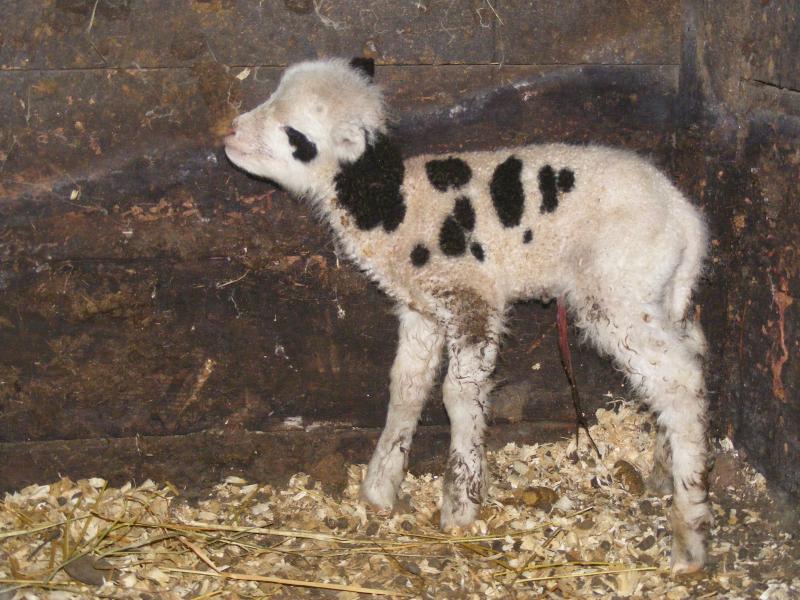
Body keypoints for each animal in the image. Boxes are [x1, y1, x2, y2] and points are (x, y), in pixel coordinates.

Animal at [223, 57, 712, 573]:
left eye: (293, 131)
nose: (230, 131)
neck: (390, 203)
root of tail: (686, 221)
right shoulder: (421, 309)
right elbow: (406, 389)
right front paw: (379, 487)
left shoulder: (471, 298)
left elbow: (459, 396)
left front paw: (460, 501)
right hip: (659, 293)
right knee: (692, 357)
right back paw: (666, 470)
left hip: (616, 293)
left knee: (679, 380)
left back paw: (689, 533)